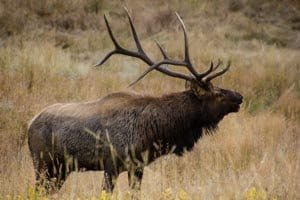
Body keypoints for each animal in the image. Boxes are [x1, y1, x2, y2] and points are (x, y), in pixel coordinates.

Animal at [28, 8, 243, 193]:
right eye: (218, 93)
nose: (240, 96)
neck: (152, 132)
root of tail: (30, 124)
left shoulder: (137, 167)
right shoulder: (111, 164)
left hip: (61, 169)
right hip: (43, 163)